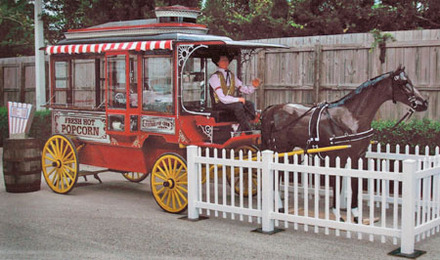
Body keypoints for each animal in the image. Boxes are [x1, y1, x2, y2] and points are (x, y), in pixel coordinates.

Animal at [260, 66, 428, 222]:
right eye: (403, 82)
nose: (423, 103)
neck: (351, 117)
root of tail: (271, 109)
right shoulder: (338, 158)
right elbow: (337, 183)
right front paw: (337, 214)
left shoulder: (357, 158)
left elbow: (354, 183)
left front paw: (356, 215)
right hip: (281, 149)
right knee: (276, 175)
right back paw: (279, 207)